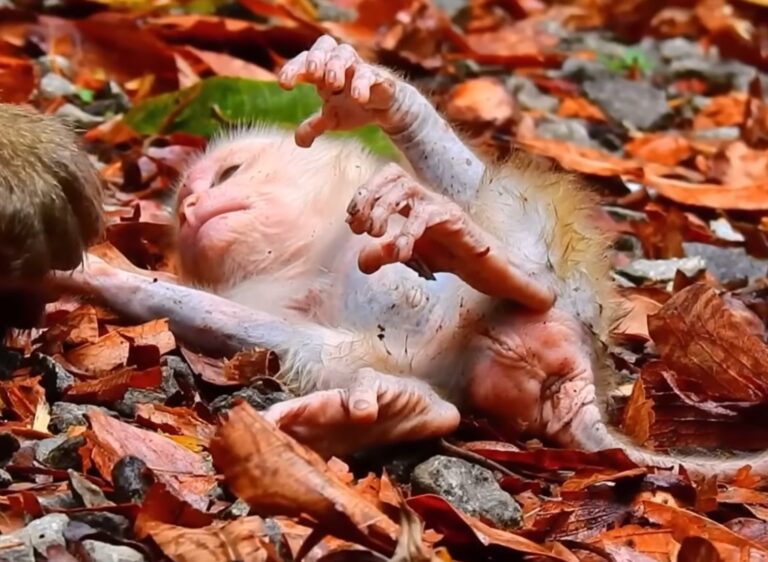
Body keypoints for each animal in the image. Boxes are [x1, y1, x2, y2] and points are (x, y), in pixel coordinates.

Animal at [49, 35, 768, 481]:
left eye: (227, 174)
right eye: (183, 211)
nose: (195, 203)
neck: (313, 251)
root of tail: (575, 371)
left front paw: (377, 96)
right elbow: (246, 324)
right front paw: (112, 279)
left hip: (576, 287)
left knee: (508, 233)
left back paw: (482, 253)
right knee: (345, 357)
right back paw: (412, 408)